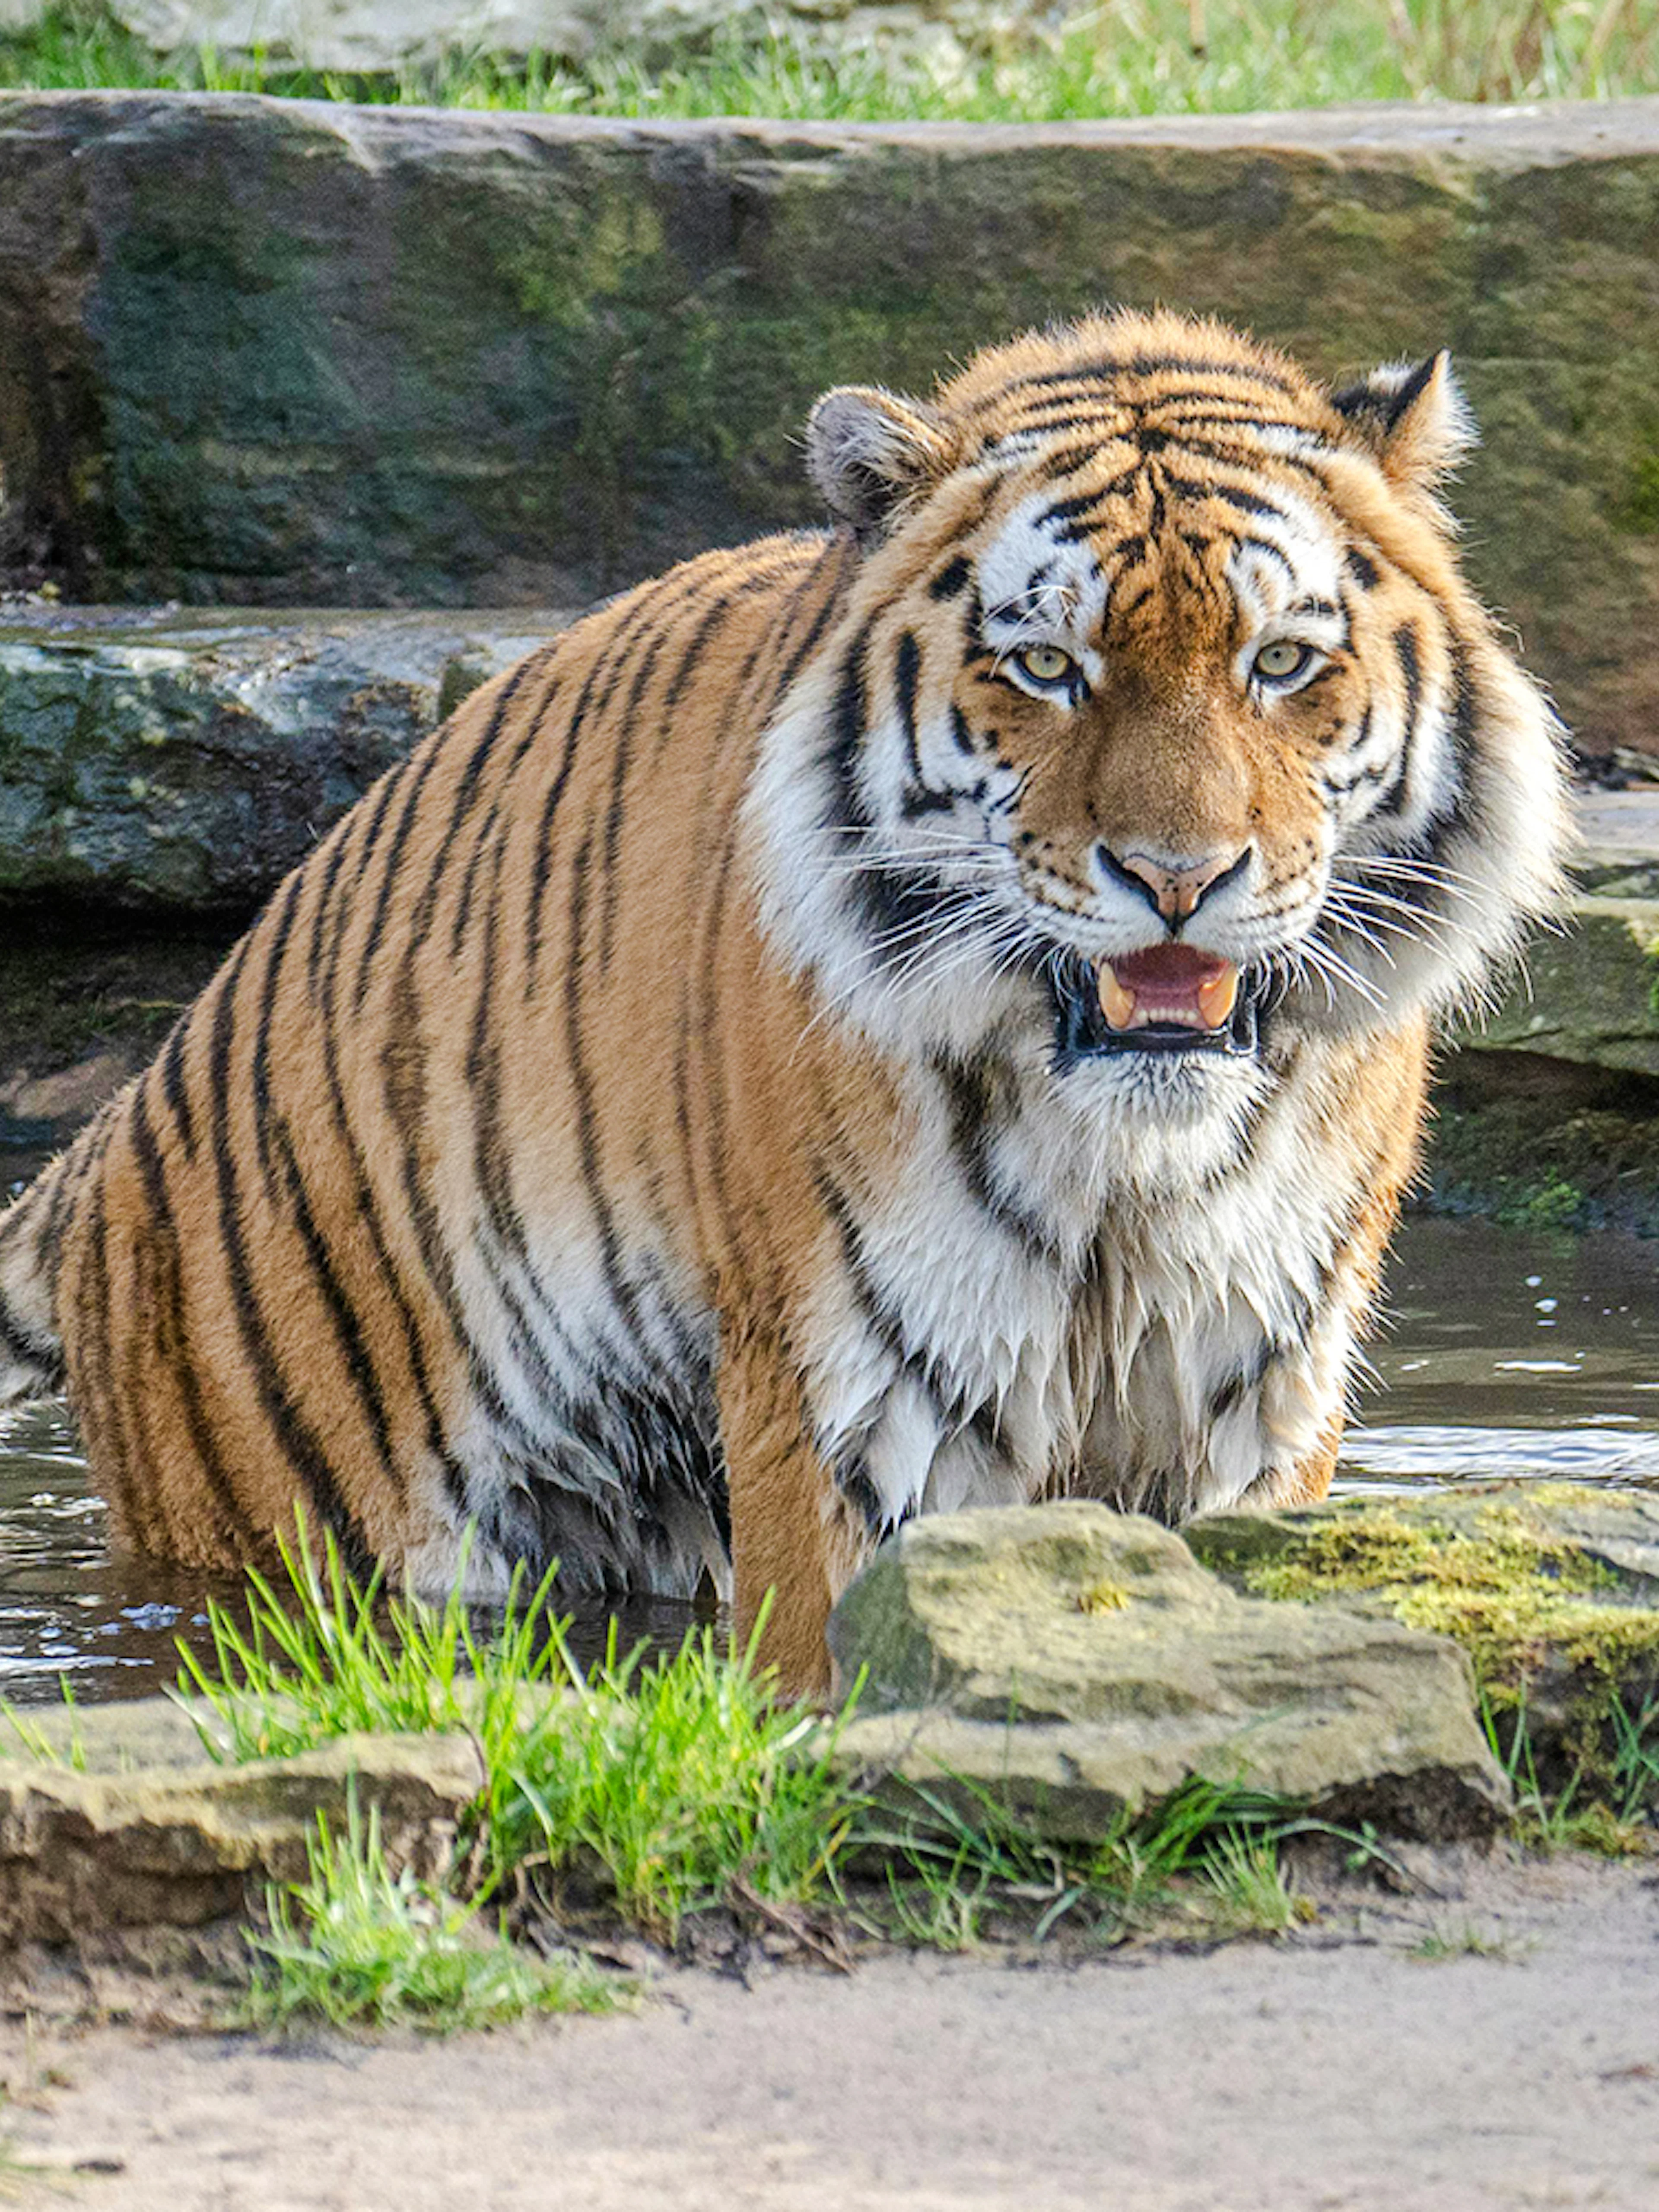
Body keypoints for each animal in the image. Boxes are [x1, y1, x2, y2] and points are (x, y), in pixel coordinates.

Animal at [0, 309, 1568, 1696]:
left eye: (1281, 660)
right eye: (1047, 667)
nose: (1178, 879)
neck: (1134, 1168)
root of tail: (107, 1141)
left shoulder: (1255, 1376)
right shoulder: (859, 1387)